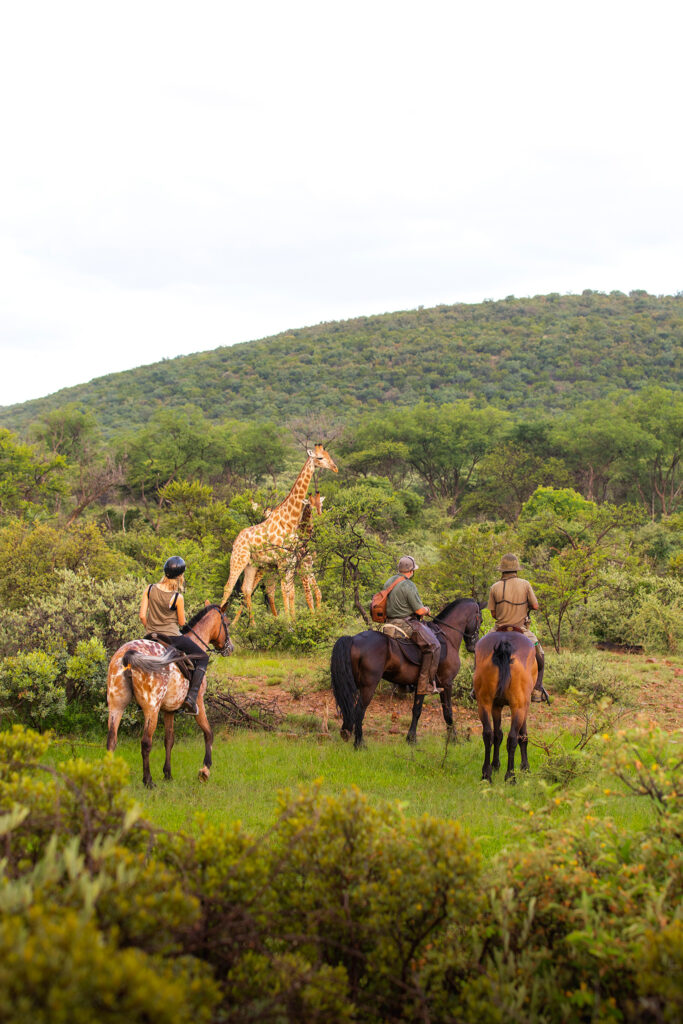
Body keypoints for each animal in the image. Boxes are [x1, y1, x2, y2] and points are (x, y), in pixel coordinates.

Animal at [220, 445, 337, 622]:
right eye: (320, 458)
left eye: (328, 455)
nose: (335, 468)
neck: (291, 519)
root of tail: (236, 541)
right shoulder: (283, 561)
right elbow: (285, 590)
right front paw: (288, 622)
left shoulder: (291, 560)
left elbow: (291, 591)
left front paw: (293, 621)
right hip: (239, 560)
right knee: (228, 587)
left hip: (252, 565)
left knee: (247, 589)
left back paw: (253, 625)